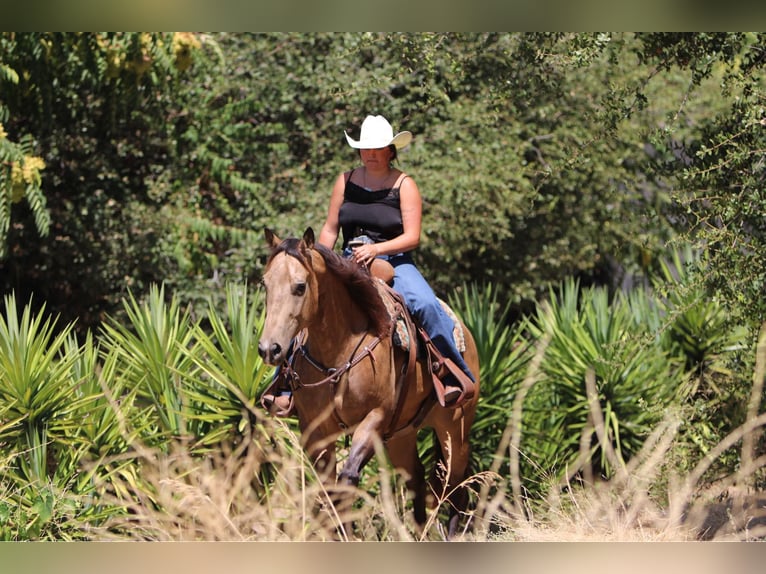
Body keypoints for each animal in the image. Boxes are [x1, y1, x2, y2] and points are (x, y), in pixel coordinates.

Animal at [260, 228, 484, 540]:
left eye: (300, 286)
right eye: (265, 283)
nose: (269, 349)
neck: (339, 350)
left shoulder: (375, 419)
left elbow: (347, 478)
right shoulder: (316, 429)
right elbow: (329, 490)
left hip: (454, 431)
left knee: (456, 489)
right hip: (403, 437)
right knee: (417, 480)